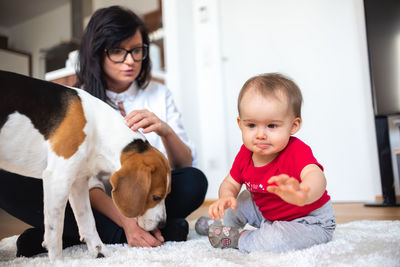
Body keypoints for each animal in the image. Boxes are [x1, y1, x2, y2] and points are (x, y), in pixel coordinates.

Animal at [0, 71, 170, 262]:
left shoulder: (78, 182)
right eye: (156, 197)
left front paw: (100, 252)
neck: (99, 129)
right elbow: (54, 230)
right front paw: (58, 262)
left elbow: (88, 221)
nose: (163, 224)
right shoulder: (58, 179)